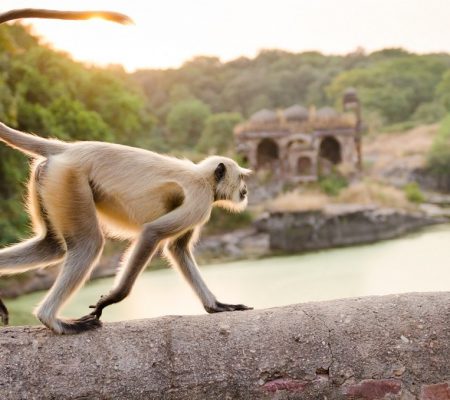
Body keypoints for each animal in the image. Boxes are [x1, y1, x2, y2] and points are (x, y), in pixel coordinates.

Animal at [0, 9, 253, 334]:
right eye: (241, 178)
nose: (246, 190)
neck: (204, 178)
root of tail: (68, 150)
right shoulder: (200, 200)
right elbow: (152, 233)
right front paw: (112, 298)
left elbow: (178, 249)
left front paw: (217, 306)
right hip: (69, 181)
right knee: (88, 243)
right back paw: (52, 320)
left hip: (50, 181)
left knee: (52, 247)